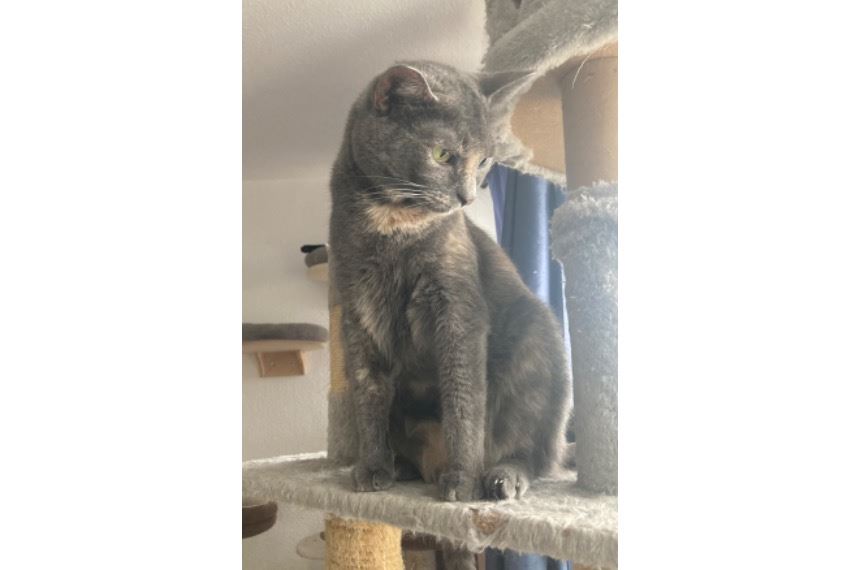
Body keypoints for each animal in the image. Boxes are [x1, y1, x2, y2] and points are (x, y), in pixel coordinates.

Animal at [329, 61, 572, 504]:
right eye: (442, 154)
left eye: (485, 160)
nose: (467, 197)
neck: (392, 225)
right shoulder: (357, 312)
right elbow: (369, 395)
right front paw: (372, 467)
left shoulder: (458, 307)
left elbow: (463, 397)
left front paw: (463, 479)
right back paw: (400, 466)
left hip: (537, 343)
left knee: (534, 450)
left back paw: (500, 476)